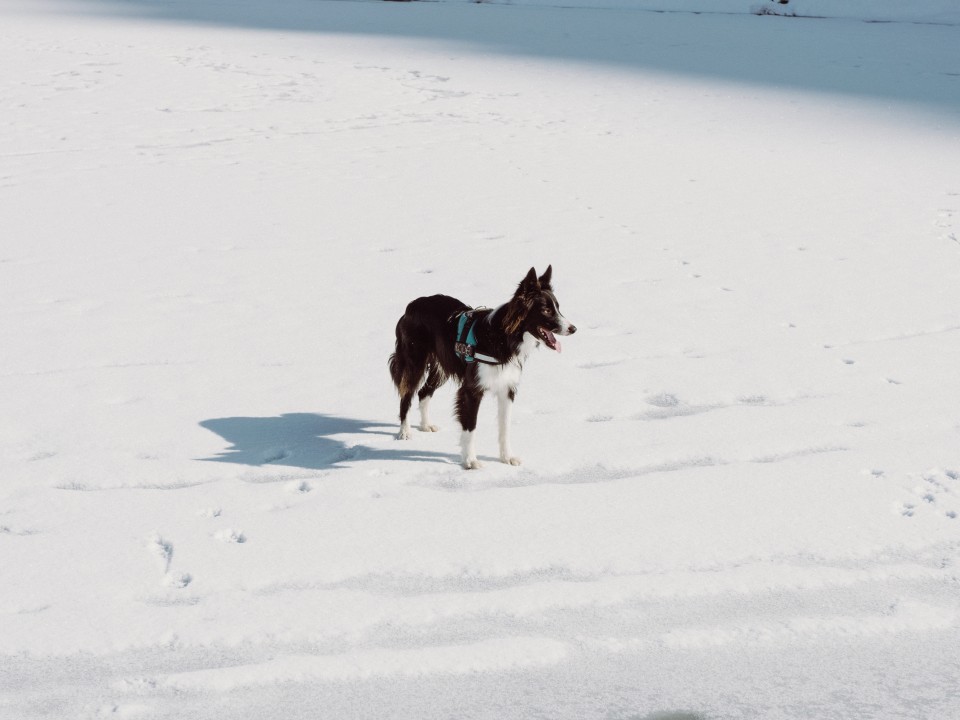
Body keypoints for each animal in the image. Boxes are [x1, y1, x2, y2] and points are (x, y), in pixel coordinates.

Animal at [390, 264, 576, 466]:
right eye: (546, 310)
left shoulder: (507, 388)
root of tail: (411, 306)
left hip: (441, 368)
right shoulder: (472, 389)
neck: (503, 337)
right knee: (406, 395)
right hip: (415, 362)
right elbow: (470, 427)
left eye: (558, 308)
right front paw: (470, 461)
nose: (573, 329)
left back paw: (425, 425)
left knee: (424, 392)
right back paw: (405, 431)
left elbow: (505, 427)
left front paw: (507, 457)